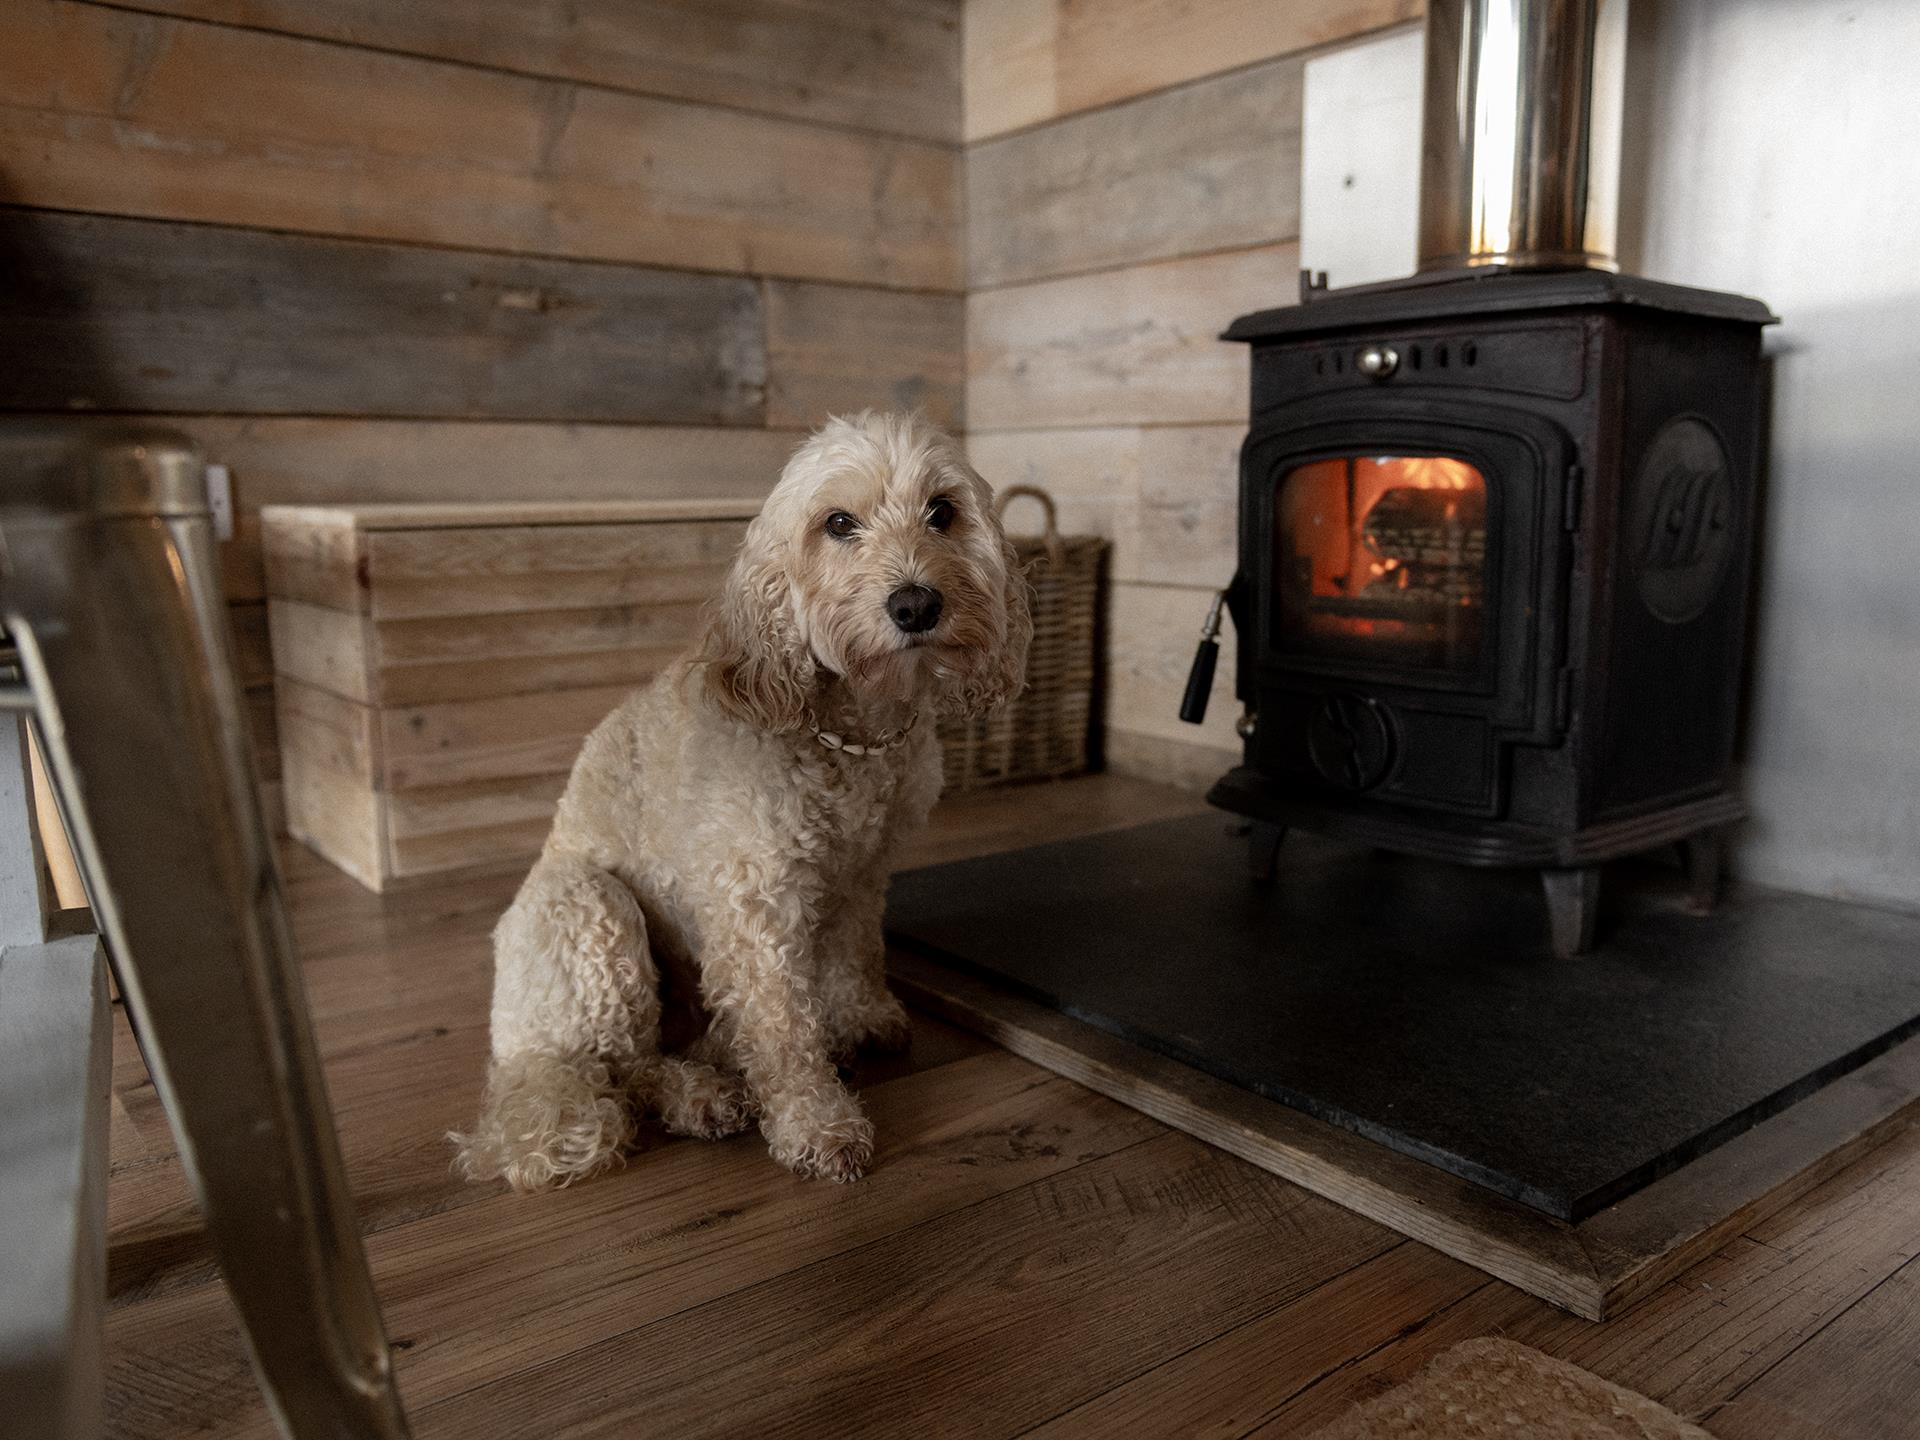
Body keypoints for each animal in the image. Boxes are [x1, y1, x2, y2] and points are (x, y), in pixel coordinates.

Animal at [449, 410, 1029, 1190]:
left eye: (943, 512)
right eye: (838, 522)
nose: (916, 604)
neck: (850, 731)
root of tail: (522, 1061)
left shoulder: (864, 872)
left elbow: (858, 949)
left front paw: (862, 1015)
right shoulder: (755, 900)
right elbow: (783, 1025)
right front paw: (817, 1123)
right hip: (591, 914)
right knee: (622, 1067)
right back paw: (699, 1096)